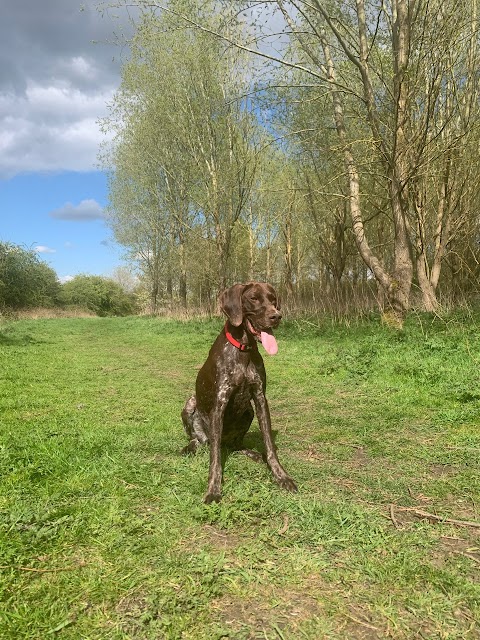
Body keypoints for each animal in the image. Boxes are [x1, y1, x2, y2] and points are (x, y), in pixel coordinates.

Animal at [181, 282, 296, 502]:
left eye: (273, 299)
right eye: (254, 298)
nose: (277, 316)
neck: (244, 347)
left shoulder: (260, 399)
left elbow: (269, 446)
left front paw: (281, 476)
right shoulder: (220, 403)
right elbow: (215, 459)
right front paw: (213, 489)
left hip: (248, 411)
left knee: (234, 446)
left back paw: (253, 454)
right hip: (190, 403)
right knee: (201, 441)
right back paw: (190, 447)